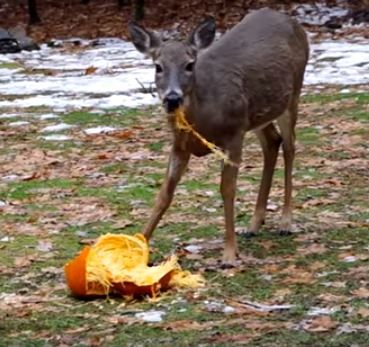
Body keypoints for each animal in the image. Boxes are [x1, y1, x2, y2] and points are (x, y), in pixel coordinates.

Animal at [128, 8, 310, 266]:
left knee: (290, 146)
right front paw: (139, 246)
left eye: (189, 64)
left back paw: (285, 221)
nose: (172, 99)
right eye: (158, 66)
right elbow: (165, 193)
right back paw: (253, 224)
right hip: (257, 116)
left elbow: (227, 189)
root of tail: (292, 21)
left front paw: (229, 254)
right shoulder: (179, 144)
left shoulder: (234, 134)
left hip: (292, 95)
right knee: (272, 142)